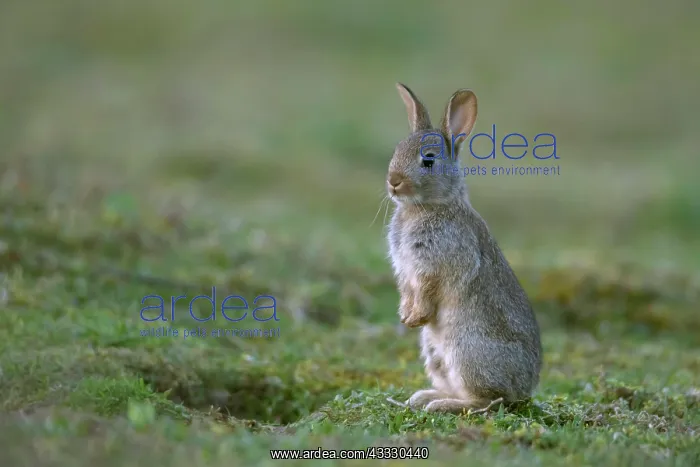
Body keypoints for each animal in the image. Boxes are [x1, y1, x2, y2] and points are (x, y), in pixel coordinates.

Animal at [386, 83, 542, 414]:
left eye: (428, 160)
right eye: (397, 151)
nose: (393, 182)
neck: (429, 205)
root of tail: (525, 388)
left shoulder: (440, 262)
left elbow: (429, 287)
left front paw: (416, 318)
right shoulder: (404, 268)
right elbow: (407, 289)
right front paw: (406, 316)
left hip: (466, 350)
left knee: (491, 399)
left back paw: (440, 405)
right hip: (435, 355)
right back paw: (425, 397)